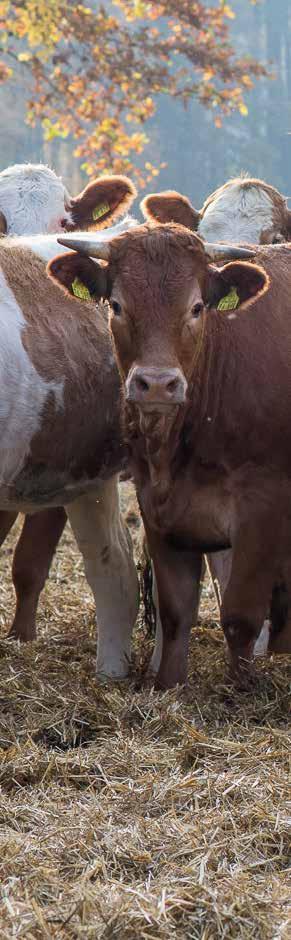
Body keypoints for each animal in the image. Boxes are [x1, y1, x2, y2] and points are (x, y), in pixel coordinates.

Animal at [50, 224, 291, 688]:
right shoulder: (158, 506)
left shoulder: (264, 508)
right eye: (117, 305)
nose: (158, 384)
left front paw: (240, 689)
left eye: (196, 307)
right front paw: (168, 685)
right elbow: (176, 611)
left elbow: (240, 616)